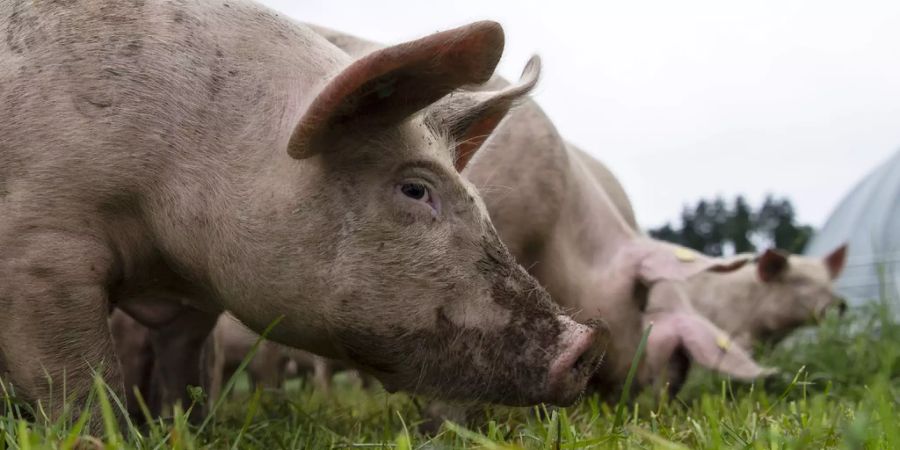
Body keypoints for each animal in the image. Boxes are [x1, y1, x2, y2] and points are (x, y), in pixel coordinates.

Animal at [1, 0, 612, 428]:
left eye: (478, 199)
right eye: (415, 190)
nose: (585, 341)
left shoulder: (193, 303)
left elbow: (185, 370)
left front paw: (188, 427)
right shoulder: (38, 250)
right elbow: (83, 382)